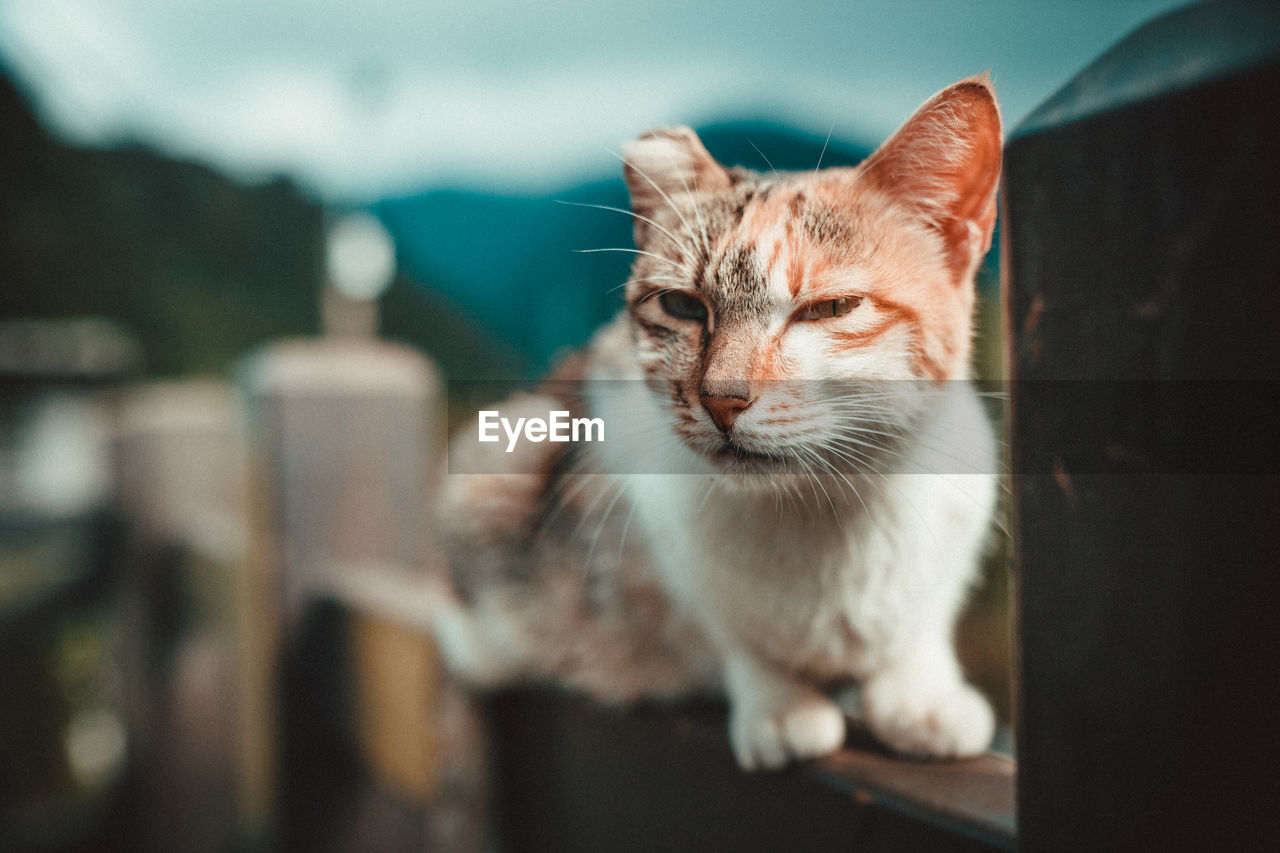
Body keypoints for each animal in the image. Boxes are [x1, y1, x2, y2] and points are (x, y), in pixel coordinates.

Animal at [435, 76, 1003, 768]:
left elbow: (919, 630)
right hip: (504, 459)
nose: (722, 399)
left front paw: (922, 697)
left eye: (830, 308)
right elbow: (730, 639)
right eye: (682, 306)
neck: (826, 510)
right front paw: (780, 706)